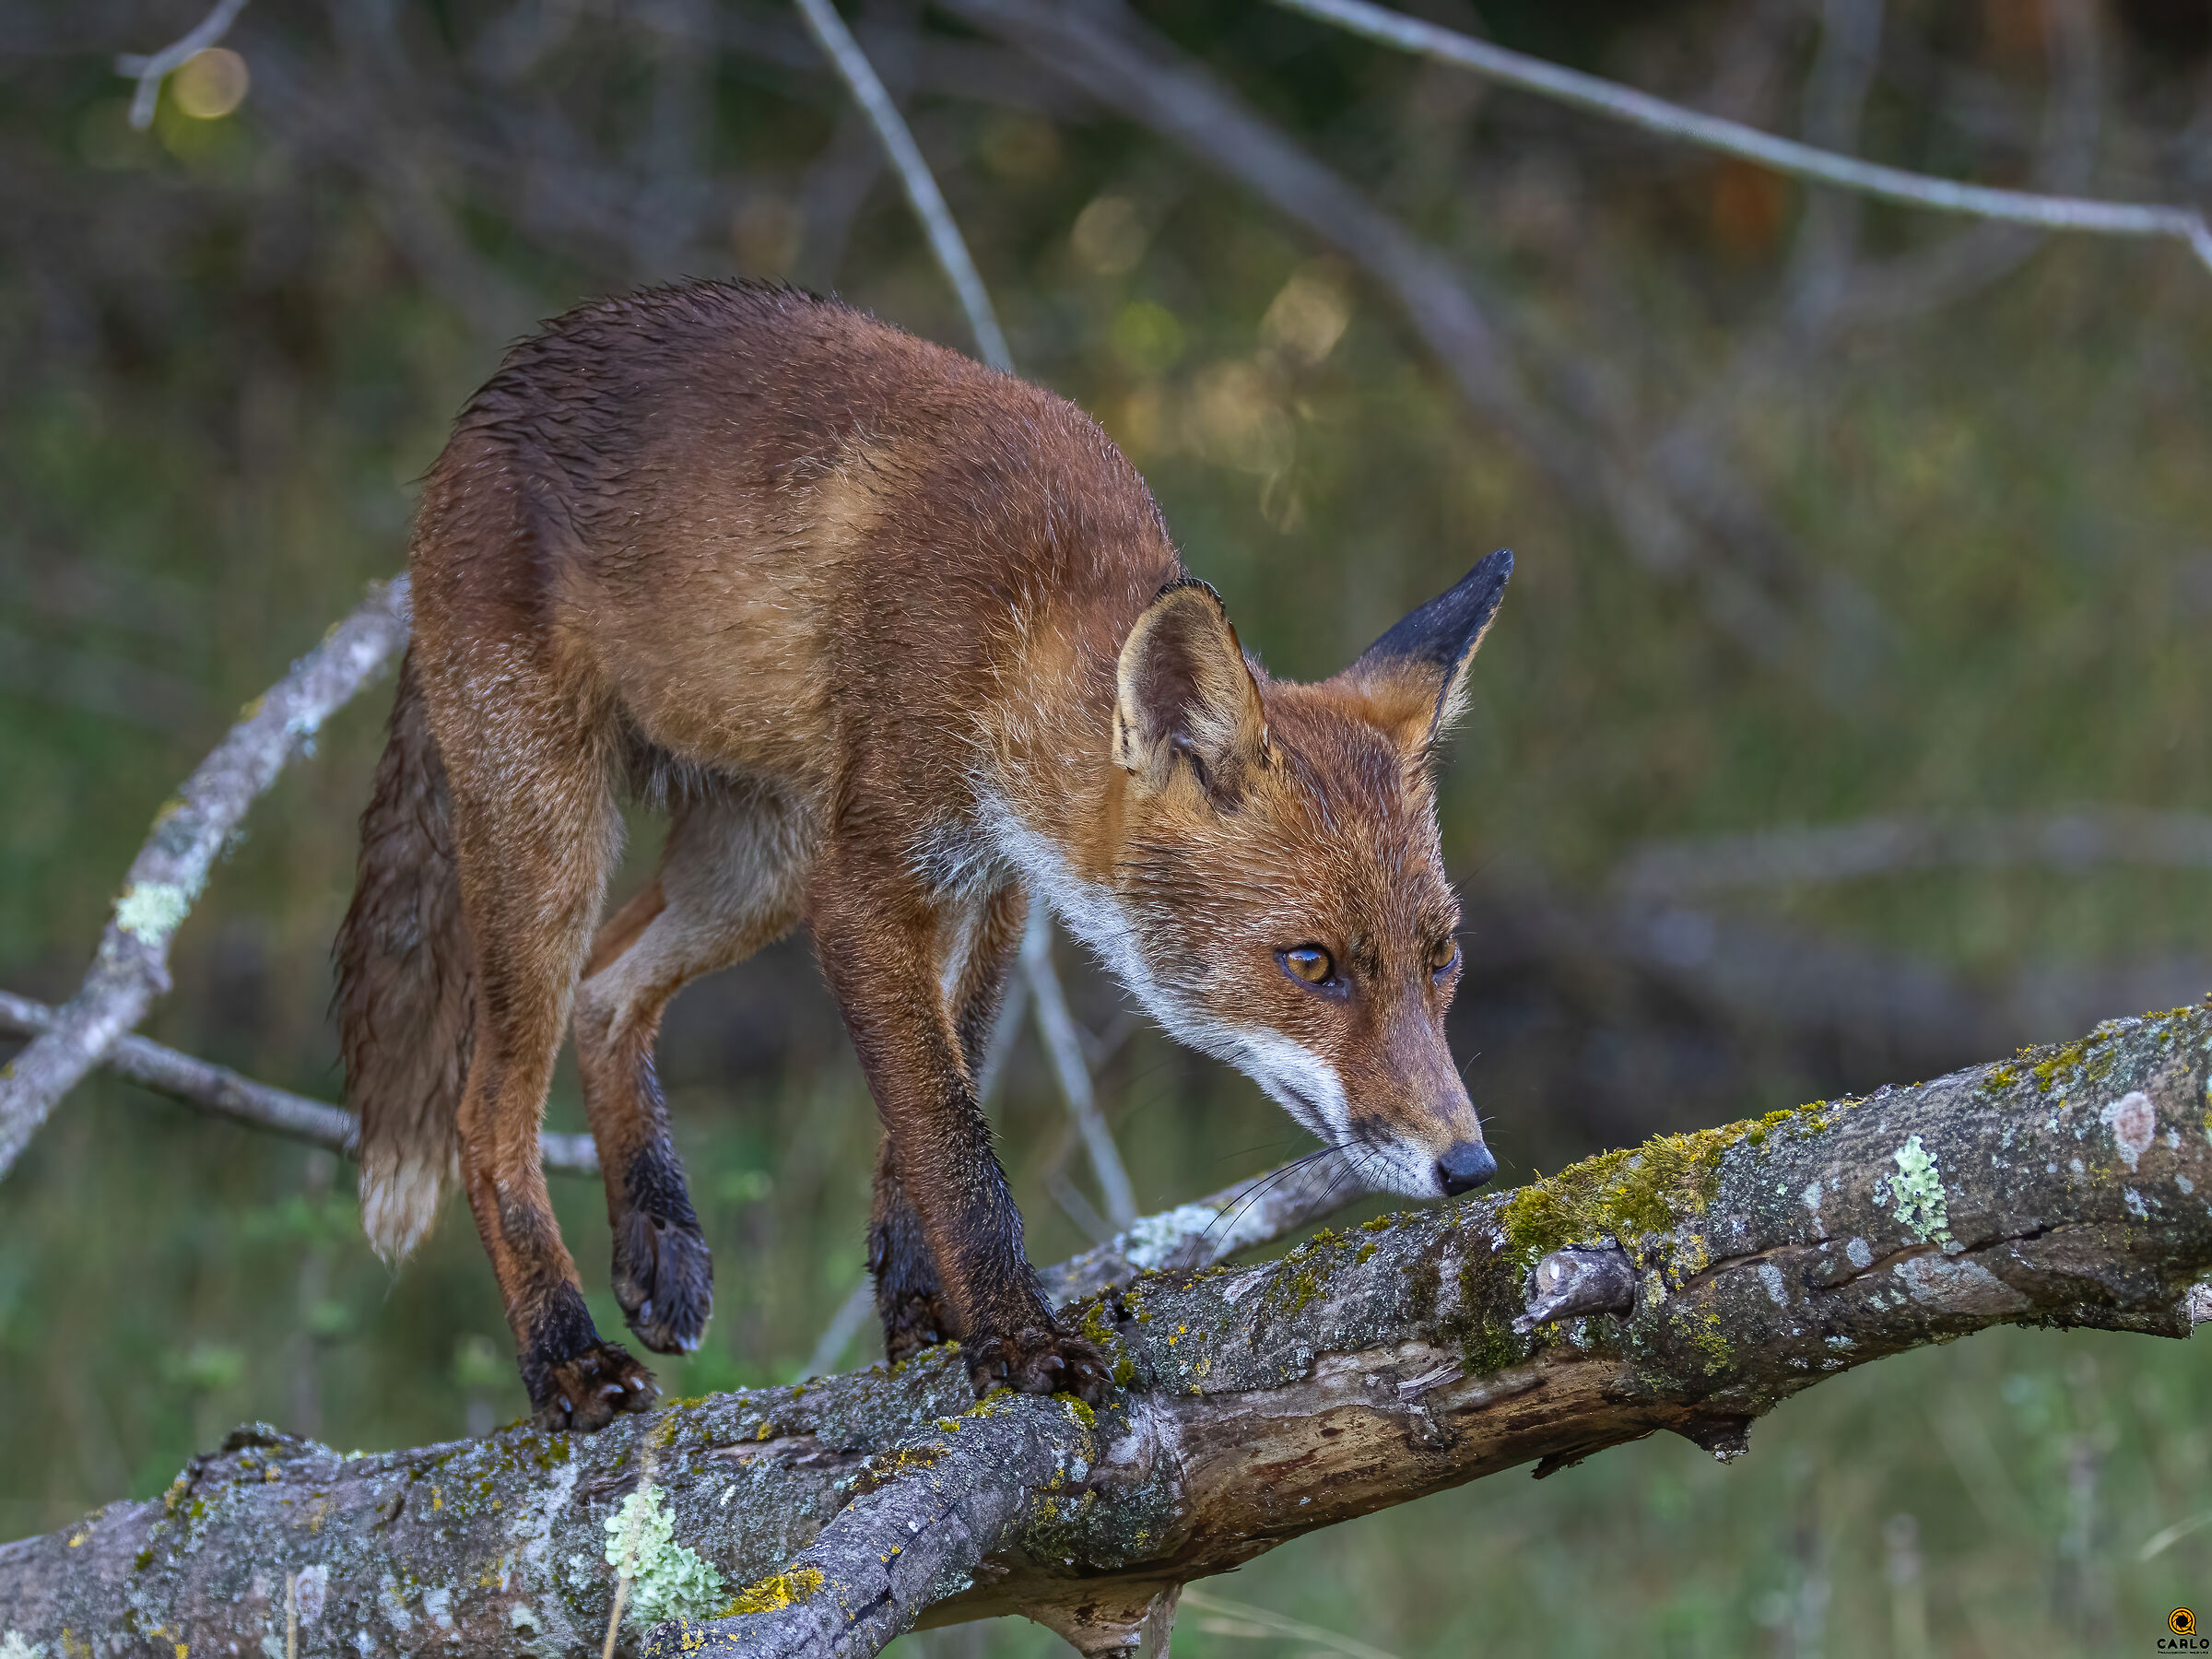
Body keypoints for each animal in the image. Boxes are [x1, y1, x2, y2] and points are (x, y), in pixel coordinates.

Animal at [335, 280, 1510, 1430]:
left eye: (1442, 959)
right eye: (1312, 965)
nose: (1469, 1165)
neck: (1015, 624)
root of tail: (492, 401)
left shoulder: (991, 890)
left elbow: (940, 1101)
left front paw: (924, 1311)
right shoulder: (867, 893)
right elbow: (953, 1138)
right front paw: (1017, 1337)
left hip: (759, 861)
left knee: (608, 989)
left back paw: (658, 1241)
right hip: (560, 836)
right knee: (487, 1108)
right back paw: (563, 1355)